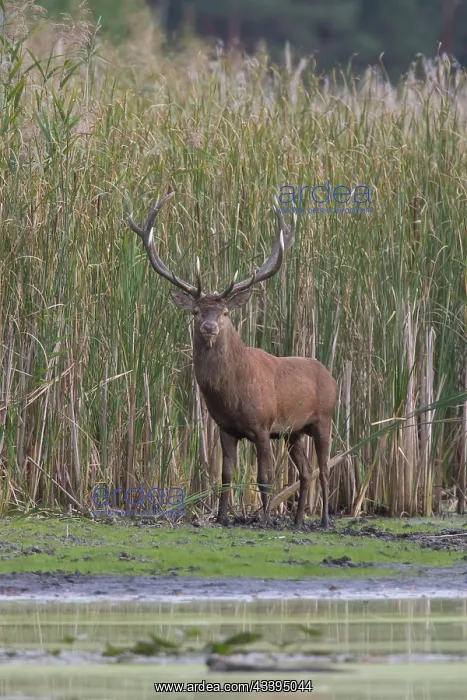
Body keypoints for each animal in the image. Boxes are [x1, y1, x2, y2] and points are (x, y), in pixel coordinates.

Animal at [128, 192, 338, 528]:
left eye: (225, 312)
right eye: (196, 311)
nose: (209, 326)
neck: (232, 392)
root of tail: (331, 376)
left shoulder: (263, 426)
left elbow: (264, 476)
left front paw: (264, 518)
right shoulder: (225, 428)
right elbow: (225, 475)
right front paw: (222, 516)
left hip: (324, 419)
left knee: (325, 467)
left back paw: (325, 519)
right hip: (293, 432)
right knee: (305, 470)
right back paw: (297, 520)